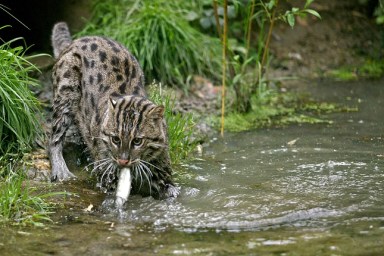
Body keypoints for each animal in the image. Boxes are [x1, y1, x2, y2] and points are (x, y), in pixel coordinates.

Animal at [48, 22, 178, 201]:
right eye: (115, 139)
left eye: (138, 141)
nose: (123, 161)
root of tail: (74, 42)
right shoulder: (106, 171)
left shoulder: (161, 163)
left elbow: (171, 187)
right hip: (66, 93)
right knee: (54, 136)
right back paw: (61, 169)